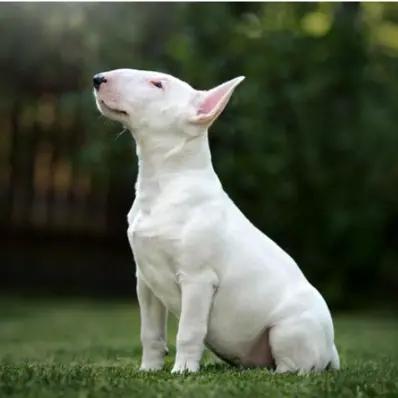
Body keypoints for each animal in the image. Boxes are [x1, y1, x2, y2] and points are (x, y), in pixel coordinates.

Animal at [93, 68, 338, 374]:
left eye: (157, 84)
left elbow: (188, 331)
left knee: (297, 366)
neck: (164, 184)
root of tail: (333, 349)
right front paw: (149, 369)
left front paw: (183, 371)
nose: (97, 79)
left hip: (288, 330)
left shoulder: (198, 279)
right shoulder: (145, 280)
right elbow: (150, 333)